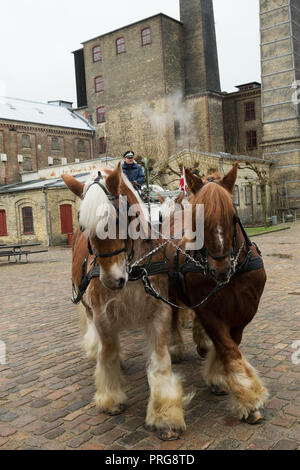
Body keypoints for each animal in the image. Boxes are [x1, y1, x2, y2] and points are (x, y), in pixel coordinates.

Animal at [61, 164, 188, 440]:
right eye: (83, 225)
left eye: (119, 219)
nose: (111, 280)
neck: (133, 269)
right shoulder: (102, 315)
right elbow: (107, 352)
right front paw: (110, 397)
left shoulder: (159, 311)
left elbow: (160, 359)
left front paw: (165, 413)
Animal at [168, 163, 268, 424]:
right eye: (198, 220)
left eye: (233, 217)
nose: (220, 269)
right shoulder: (208, 310)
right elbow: (227, 348)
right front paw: (249, 400)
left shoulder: (245, 310)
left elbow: (231, 343)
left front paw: (218, 375)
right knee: (172, 316)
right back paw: (175, 347)